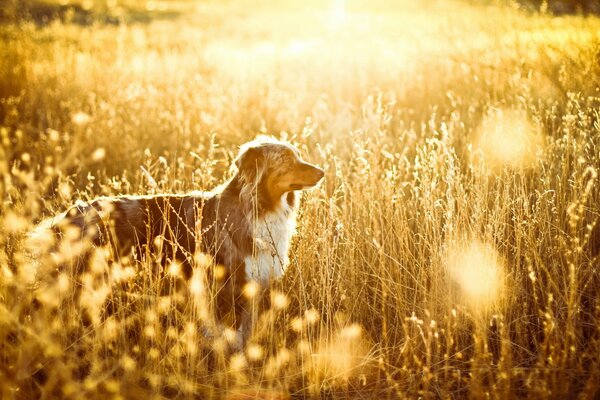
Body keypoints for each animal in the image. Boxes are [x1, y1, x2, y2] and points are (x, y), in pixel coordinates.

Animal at [34, 136, 324, 336]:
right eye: (285, 159)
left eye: (298, 155)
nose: (323, 172)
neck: (257, 206)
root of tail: (70, 214)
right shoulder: (225, 285)